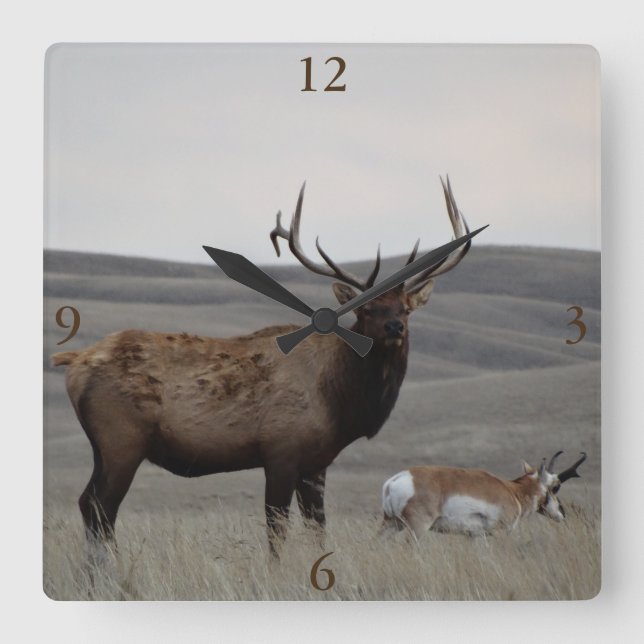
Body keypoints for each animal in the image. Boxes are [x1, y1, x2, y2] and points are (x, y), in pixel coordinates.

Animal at [51, 176, 474, 556]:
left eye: (405, 308)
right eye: (366, 309)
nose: (394, 328)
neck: (340, 400)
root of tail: (75, 361)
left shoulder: (316, 464)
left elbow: (318, 531)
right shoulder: (280, 451)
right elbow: (276, 531)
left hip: (103, 447)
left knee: (88, 505)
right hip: (122, 439)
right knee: (100, 508)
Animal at [381, 451, 587, 540]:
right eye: (556, 487)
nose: (562, 514)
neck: (514, 491)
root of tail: (395, 480)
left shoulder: (475, 536)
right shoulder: (500, 533)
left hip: (391, 524)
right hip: (417, 528)